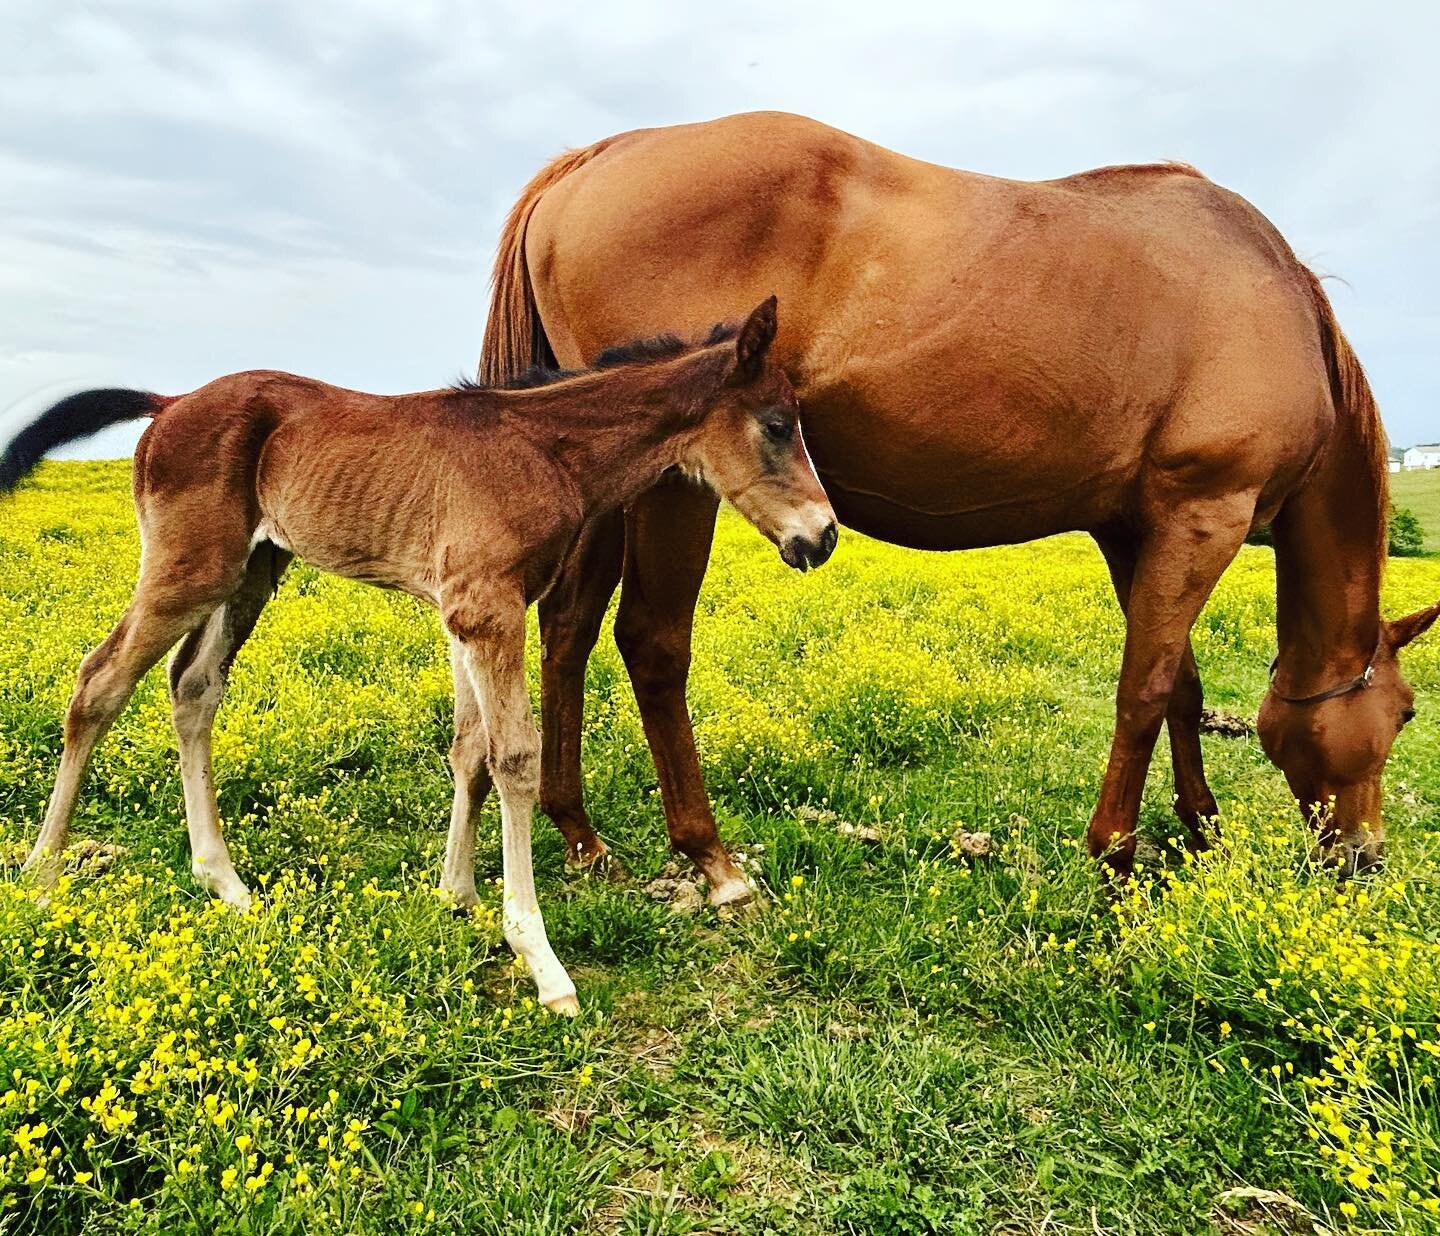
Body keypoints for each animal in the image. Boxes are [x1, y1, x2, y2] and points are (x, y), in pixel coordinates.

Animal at [2, 298, 835, 1014]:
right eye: (775, 424)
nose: (822, 537)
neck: (544, 447)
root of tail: (168, 402)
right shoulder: (486, 607)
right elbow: (515, 758)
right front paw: (540, 959)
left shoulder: (467, 612)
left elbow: (470, 751)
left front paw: (456, 897)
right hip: (190, 568)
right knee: (99, 682)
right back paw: (42, 878)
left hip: (252, 569)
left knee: (194, 686)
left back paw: (226, 882)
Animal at [483, 110, 1440, 893]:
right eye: (1403, 713)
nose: (1365, 857)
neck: (1274, 304)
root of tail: (591, 161)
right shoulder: (1207, 514)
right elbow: (1145, 687)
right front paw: (1116, 857)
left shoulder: (1136, 528)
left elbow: (1180, 684)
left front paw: (1200, 830)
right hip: (672, 488)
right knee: (651, 642)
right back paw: (709, 856)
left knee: (567, 627)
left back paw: (581, 836)